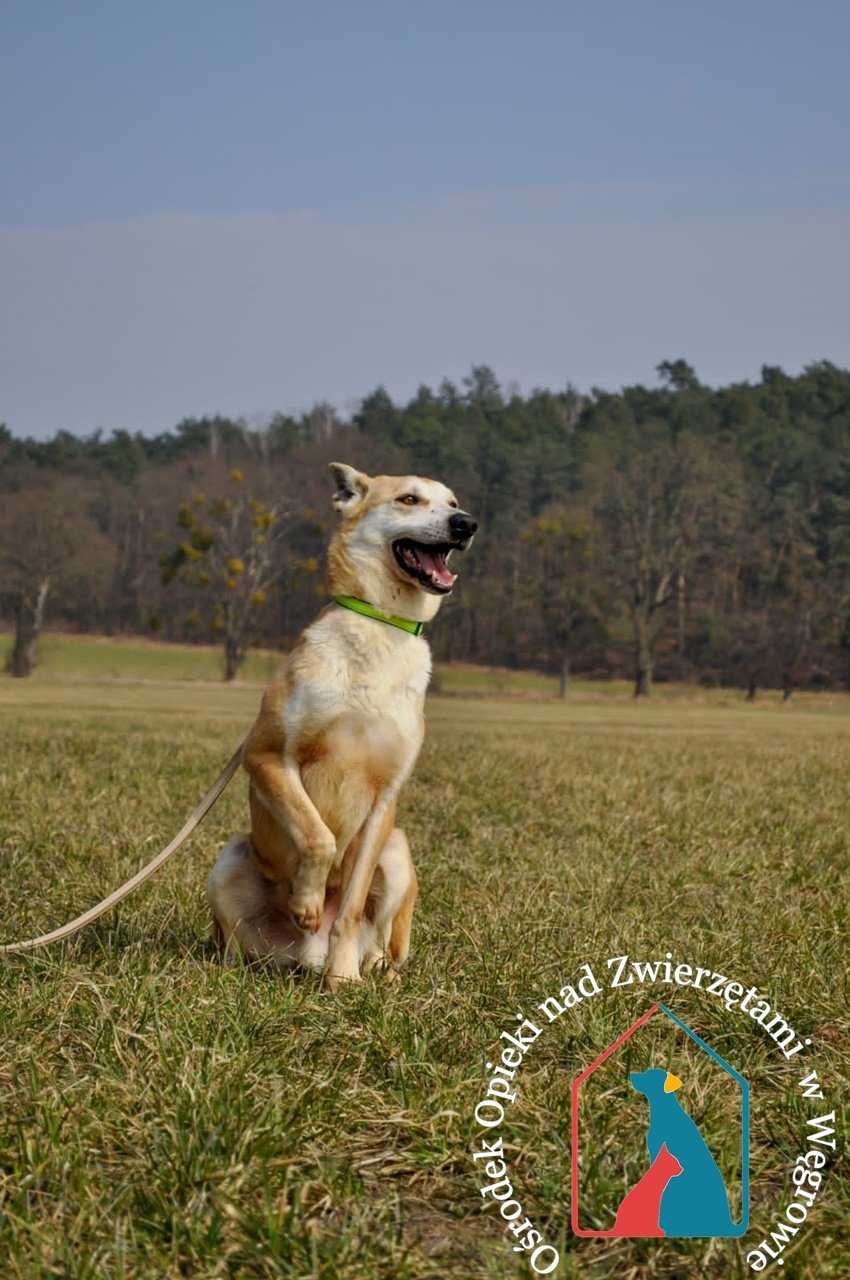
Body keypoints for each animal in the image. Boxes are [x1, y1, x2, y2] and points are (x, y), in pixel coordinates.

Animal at [203, 463, 473, 988]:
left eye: (453, 503)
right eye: (409, 499)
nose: (466, 524)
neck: (382, 623)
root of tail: (302, 956)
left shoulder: (384, 799)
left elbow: (348, 907)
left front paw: (342, 979)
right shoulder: (268, 756)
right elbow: (317, 834)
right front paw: (307, 900)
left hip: (398, 853)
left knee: (386, 945)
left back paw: (373, 972)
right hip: (230, 858)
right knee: (233, 946)